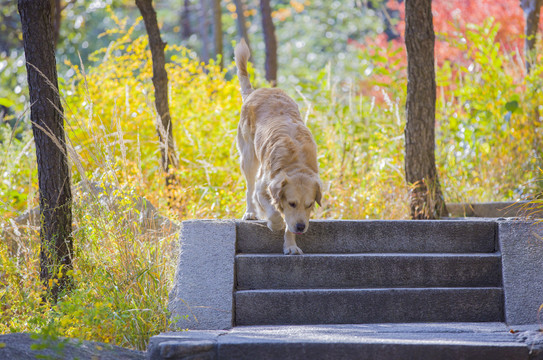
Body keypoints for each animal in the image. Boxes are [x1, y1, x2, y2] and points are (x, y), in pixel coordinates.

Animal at [235, 38, 320, 255]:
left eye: (309, 205)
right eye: (292, 203)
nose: (301, 227)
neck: (296, 161)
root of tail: (256, 91)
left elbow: (287, 222)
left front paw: (291, 245)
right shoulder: (265, 186)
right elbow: (273, 211)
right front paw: (275, 224)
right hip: (249, 157)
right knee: (249, 188)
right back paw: (251, 212)